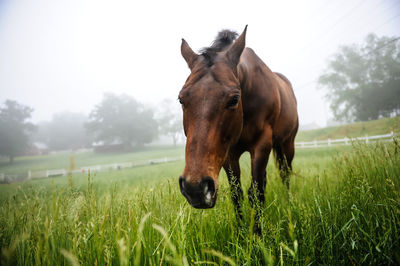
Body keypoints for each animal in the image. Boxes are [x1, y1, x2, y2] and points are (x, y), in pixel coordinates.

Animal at [178, 26, 296, 223]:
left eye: (234, 99)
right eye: (181, 99)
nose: (195, 188)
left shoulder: (262, 145)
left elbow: (256, 193)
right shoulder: (228, 153)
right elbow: (237, 194)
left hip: (287, 144)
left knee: (285, 175)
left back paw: (289, 205)